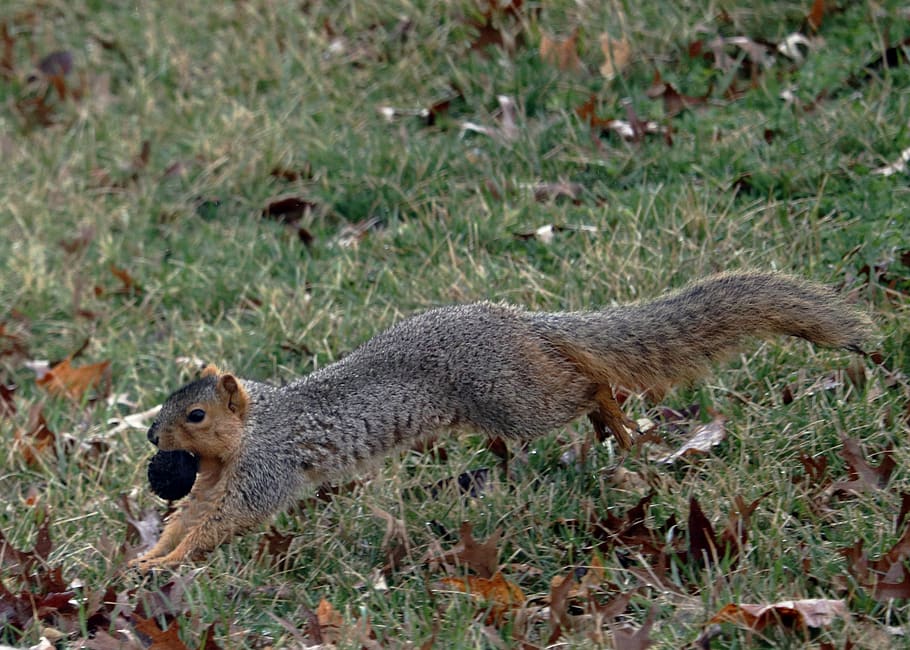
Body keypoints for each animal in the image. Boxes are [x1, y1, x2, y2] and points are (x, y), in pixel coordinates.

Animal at [129, 271, 870, 570]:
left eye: (194, 413)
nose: (153, 439)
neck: (255, 425)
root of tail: (520, 323)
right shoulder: (214, 480)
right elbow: (193, 515)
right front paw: (151, 556)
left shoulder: (267, 468)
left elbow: (225, 521)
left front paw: (167, 564)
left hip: (516, 400)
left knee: (588, 384)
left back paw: (615, 420)